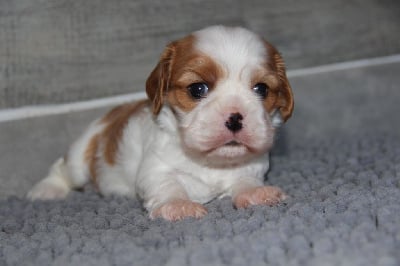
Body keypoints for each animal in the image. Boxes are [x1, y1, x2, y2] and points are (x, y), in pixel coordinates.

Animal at [26, 25, 292, 220]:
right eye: (198, 89)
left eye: (261, 89)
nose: (235, 117)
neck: (209, 161)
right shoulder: (156, 168)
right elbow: (167, 184)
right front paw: (178, 205)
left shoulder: (253, 166)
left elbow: (245, 179)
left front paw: (256, 192)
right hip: (80, 160)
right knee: (62, 169)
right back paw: (46, 190)